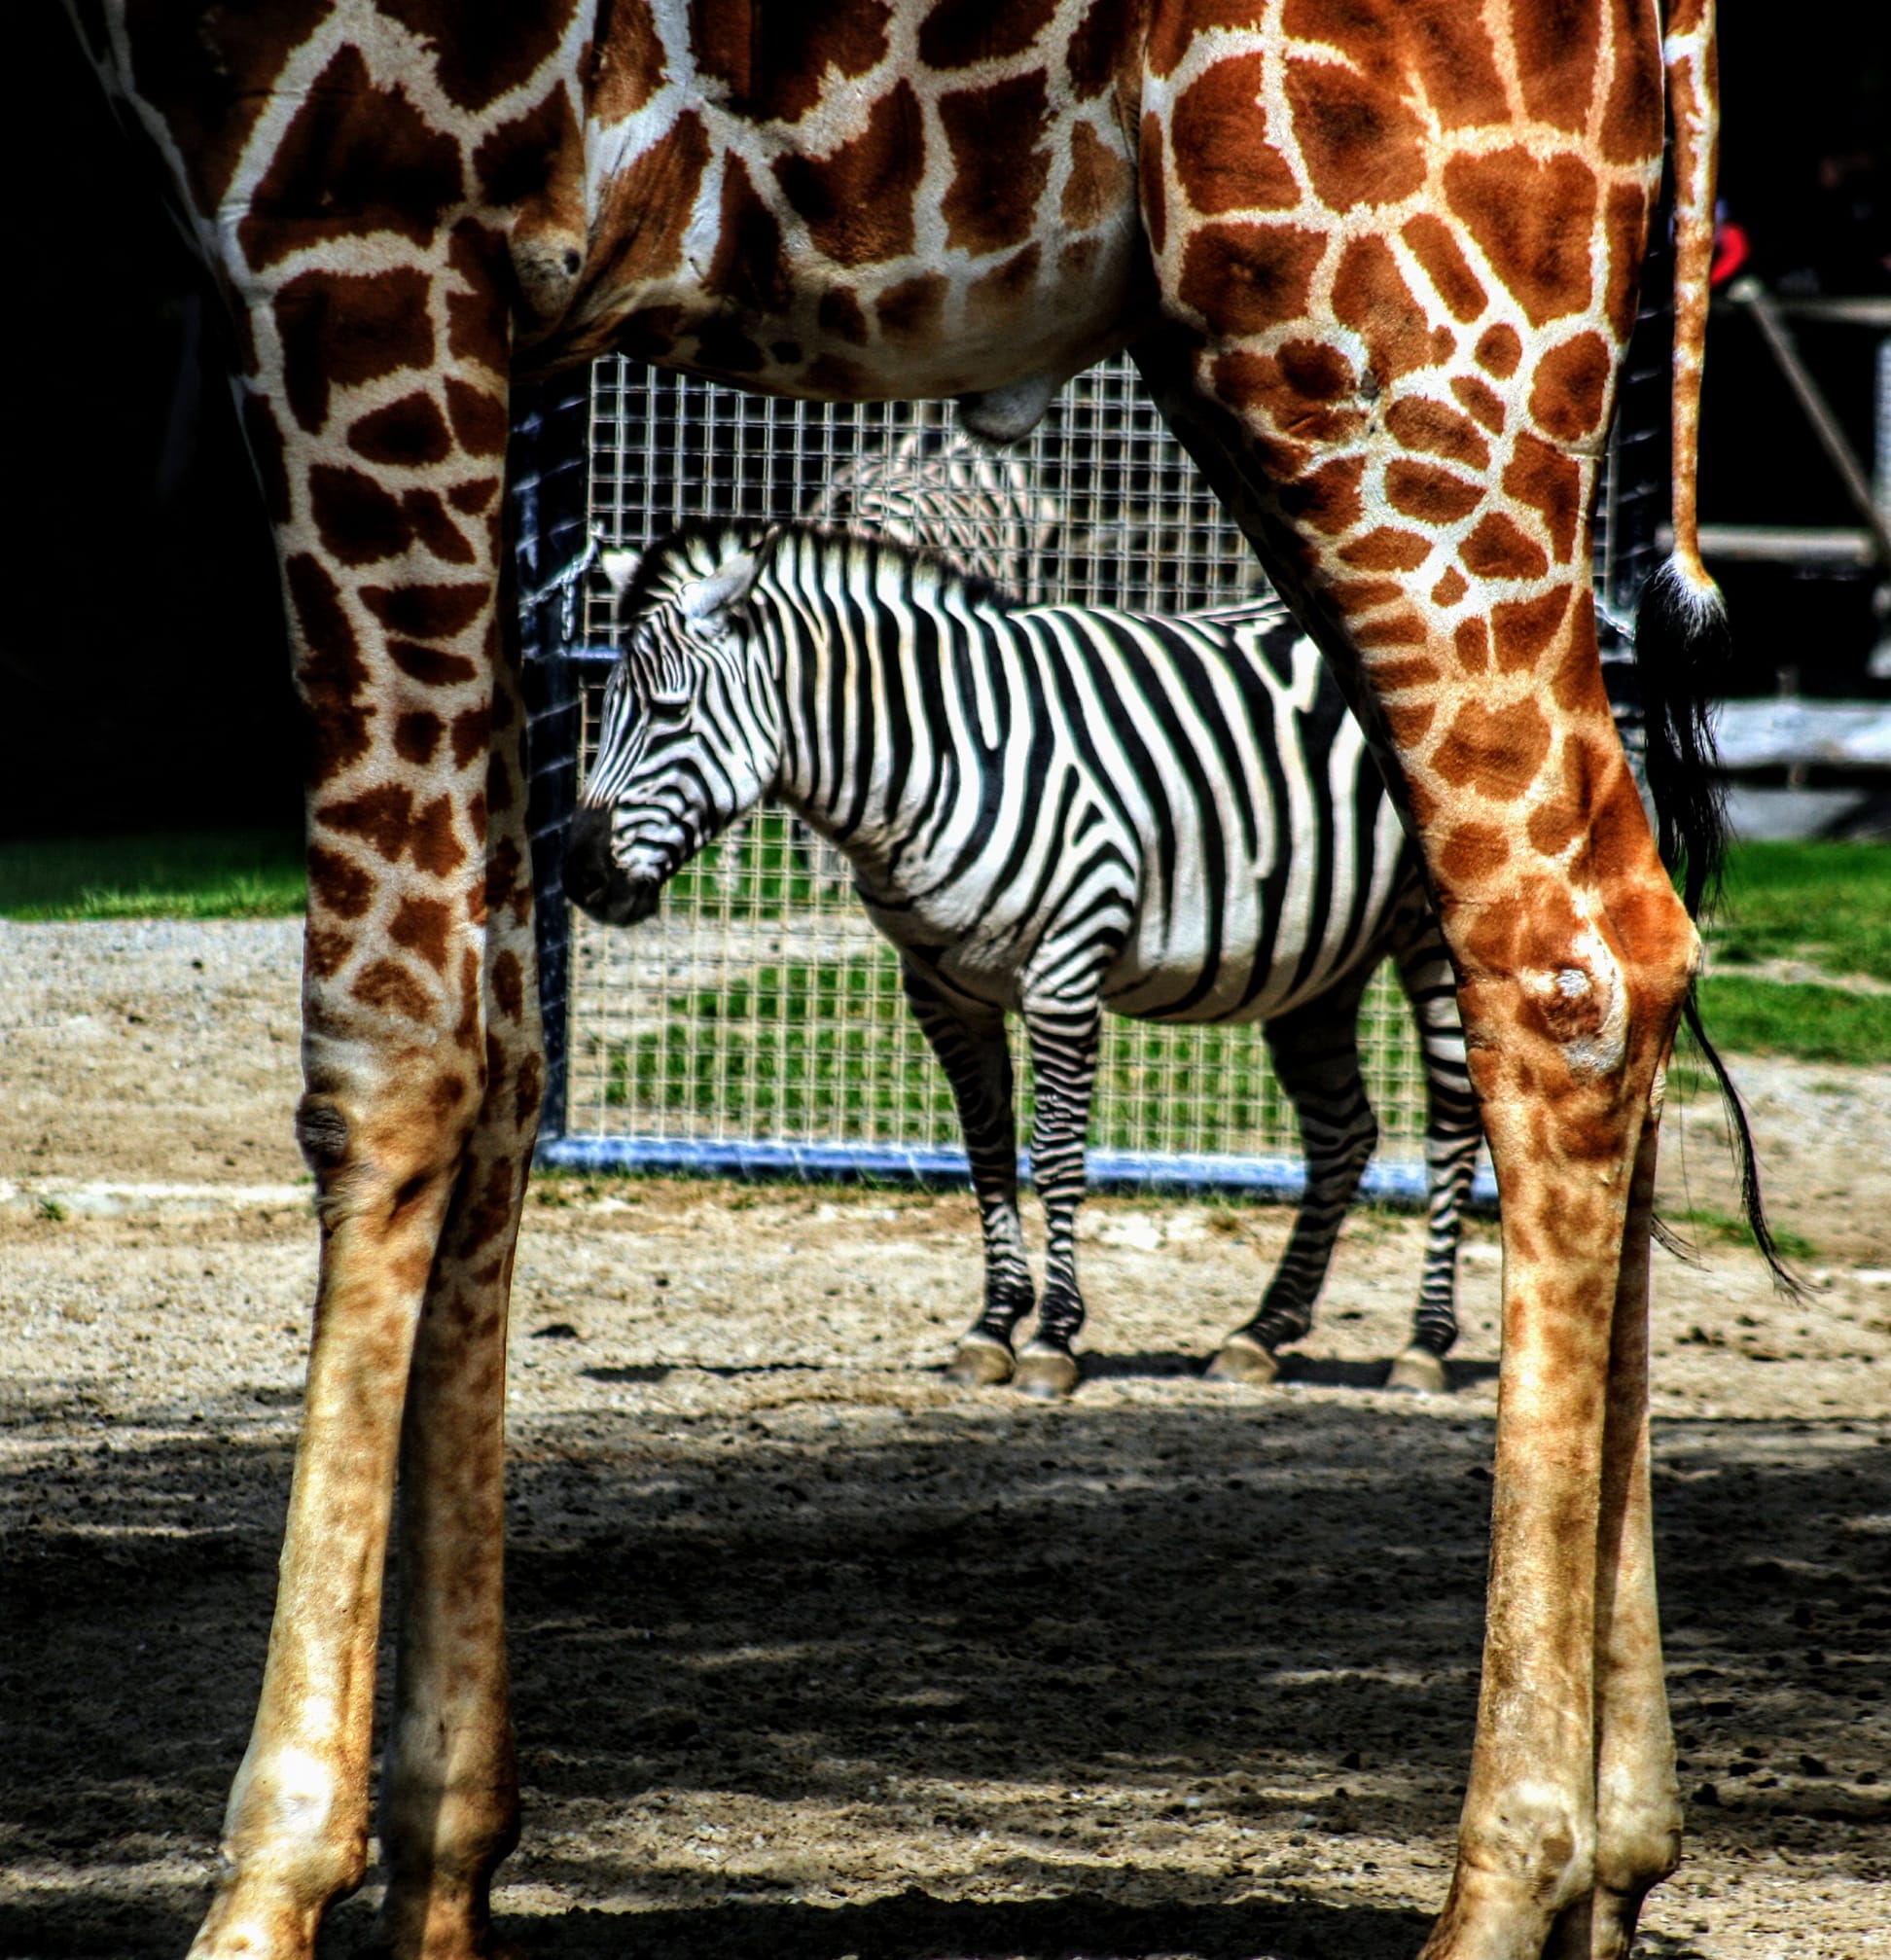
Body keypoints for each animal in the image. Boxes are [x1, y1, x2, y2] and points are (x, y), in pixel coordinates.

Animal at [564, 522, 1483, 1398]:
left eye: (670, 712)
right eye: (605, 709)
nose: (582, 874)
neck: (938, 754)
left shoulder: (1064, 970)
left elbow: (1058, 1152)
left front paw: (1052, 1338)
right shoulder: (941, 989)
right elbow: (986, 1150)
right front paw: (992, 1327)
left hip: (1428, 938)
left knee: (1450, 1124)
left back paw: (1424, 1344)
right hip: (1315, 958)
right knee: (1343, 1131)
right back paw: (1260, 1333)